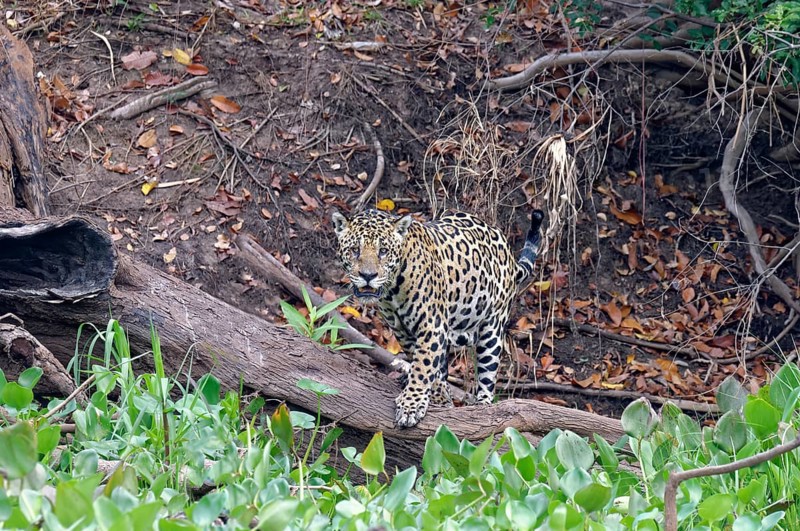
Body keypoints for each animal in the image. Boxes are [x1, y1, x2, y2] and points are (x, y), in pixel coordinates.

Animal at [331, 208, 544, 428]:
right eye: (355, 250)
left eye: (383, 251)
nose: (368, 275)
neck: (392, 290)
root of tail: (507, 251)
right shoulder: (403, 332)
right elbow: (425, 363)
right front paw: (438, 395)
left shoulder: (431, 325)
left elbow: (423, 364)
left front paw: (411, 404)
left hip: (492, 328)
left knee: (487, 378)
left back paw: (482, 406)